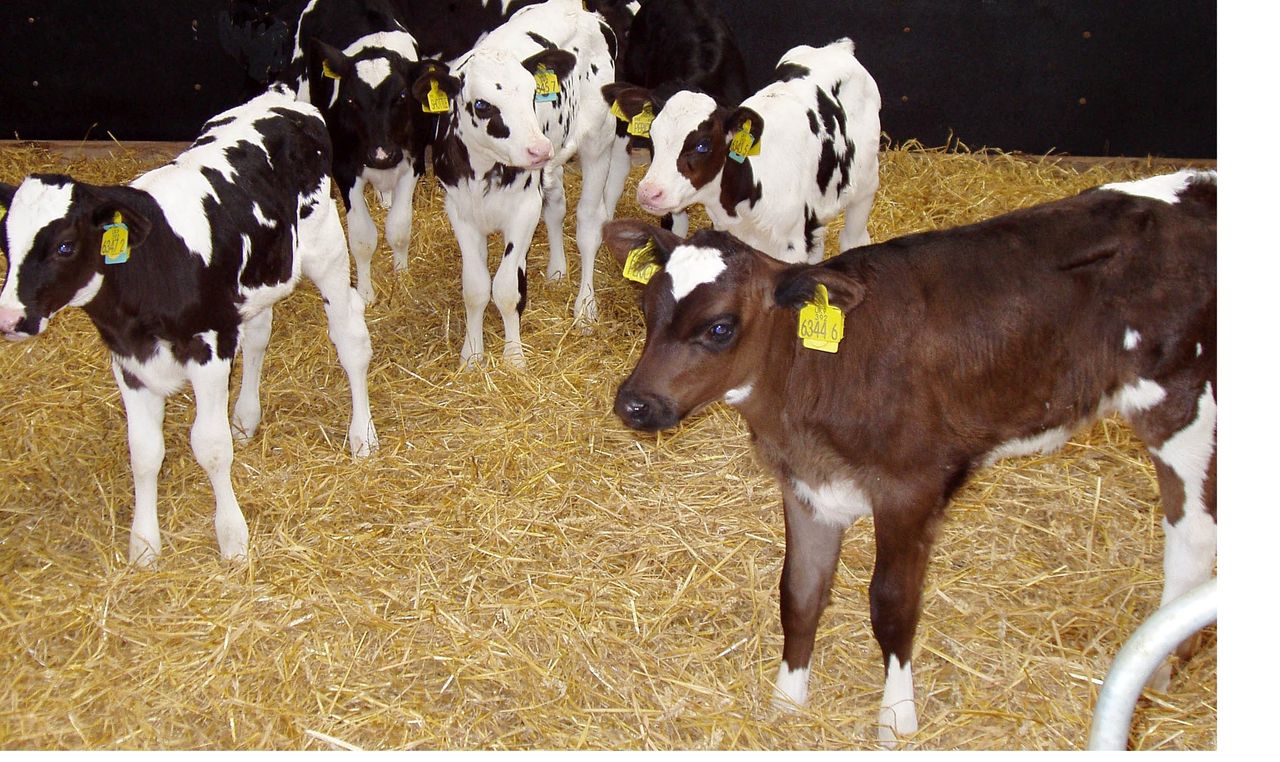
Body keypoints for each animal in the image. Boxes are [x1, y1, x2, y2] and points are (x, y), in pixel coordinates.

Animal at [0, 88, 379, 568]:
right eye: (5, 243)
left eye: (65, 246)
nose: (9, 318)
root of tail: (280, 97)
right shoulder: (129, 363)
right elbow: (144, 452)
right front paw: (144, 545)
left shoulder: (209, 349)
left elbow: (211, 447)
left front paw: (232, 538)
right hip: (258, 278)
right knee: (259, 333)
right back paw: (246, 416)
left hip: (325, 247)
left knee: (350, 337)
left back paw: (362, 435)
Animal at [412, 0, 630, 368]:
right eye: (482, 104)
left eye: (533, 94)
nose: (538, 149)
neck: (481, 172)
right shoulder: (459, 210)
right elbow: (475, 287)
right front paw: (472, 355)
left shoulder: (524, 209)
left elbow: (505, 288)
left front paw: (513, 358)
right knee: (556, 204)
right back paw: (557, 270)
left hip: (598, 141)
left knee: (589, 223)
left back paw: (585, 308)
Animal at [602, 169, 1217, 744]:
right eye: (647, 308)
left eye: (720, 327)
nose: (633, 402)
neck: (821, 371)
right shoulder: (807, 486)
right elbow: (799, 594)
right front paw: (786, 706)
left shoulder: (911, 488)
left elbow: (892, 606)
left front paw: (896, 720)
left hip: (1181, 406)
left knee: (1192, 541)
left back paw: (1160, 670)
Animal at [610, 37, 880, 264]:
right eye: (652, 136)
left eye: (702, 145)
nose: (649, 192)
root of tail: (837, 48)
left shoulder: (790, 247)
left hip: (866, 187)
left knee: (854, 239)